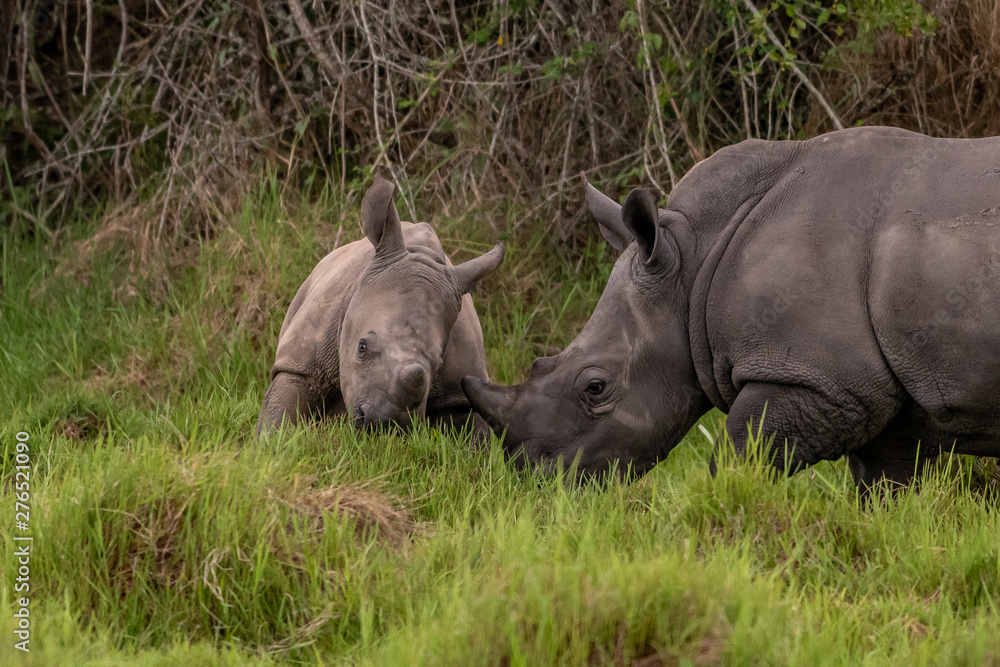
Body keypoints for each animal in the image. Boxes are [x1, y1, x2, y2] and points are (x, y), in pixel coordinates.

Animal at [260, 177, 504, 438]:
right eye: (362, 346)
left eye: (439, 363)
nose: (384, 423)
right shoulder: (300, 363)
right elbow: (280, 413)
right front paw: (271, 443)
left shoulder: (459, 395)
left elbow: (476, 435)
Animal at [462, 126, 1000, 490]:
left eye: (595, 387)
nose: (536, 481)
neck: (692, 260)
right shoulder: (880, 395)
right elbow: (884, 487)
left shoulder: (819, 381)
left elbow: (738, 463)